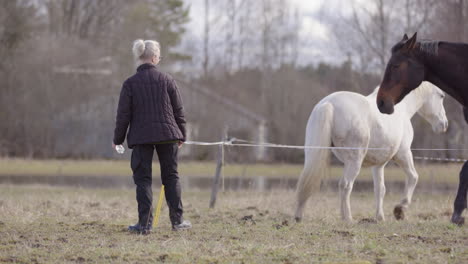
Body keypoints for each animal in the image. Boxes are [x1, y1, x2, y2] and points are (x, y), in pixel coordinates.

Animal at [294, 81, 448, 222]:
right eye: (441, 95)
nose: (444, 124)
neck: (402, 109)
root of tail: (328, 104)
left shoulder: (378, 165)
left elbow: (380, 189)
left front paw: (379, 217)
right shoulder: (403, 154)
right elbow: (413, 177)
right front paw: (400, 210)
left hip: (313, 154)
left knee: (306, 181)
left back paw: (299, 216)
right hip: (355, 161)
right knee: (345, 185)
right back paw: (347, 218)